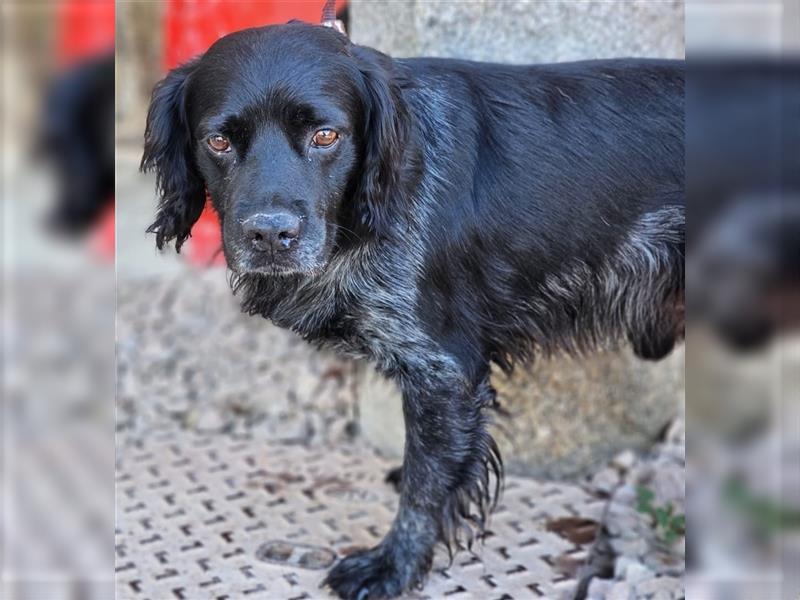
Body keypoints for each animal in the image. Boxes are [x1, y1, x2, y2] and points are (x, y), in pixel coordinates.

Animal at [142, 22, 680, 600]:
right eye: (218, 141)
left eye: (326, 136)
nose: (269, 235)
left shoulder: (442, 371)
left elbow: (425, 492)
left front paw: (391, 568)